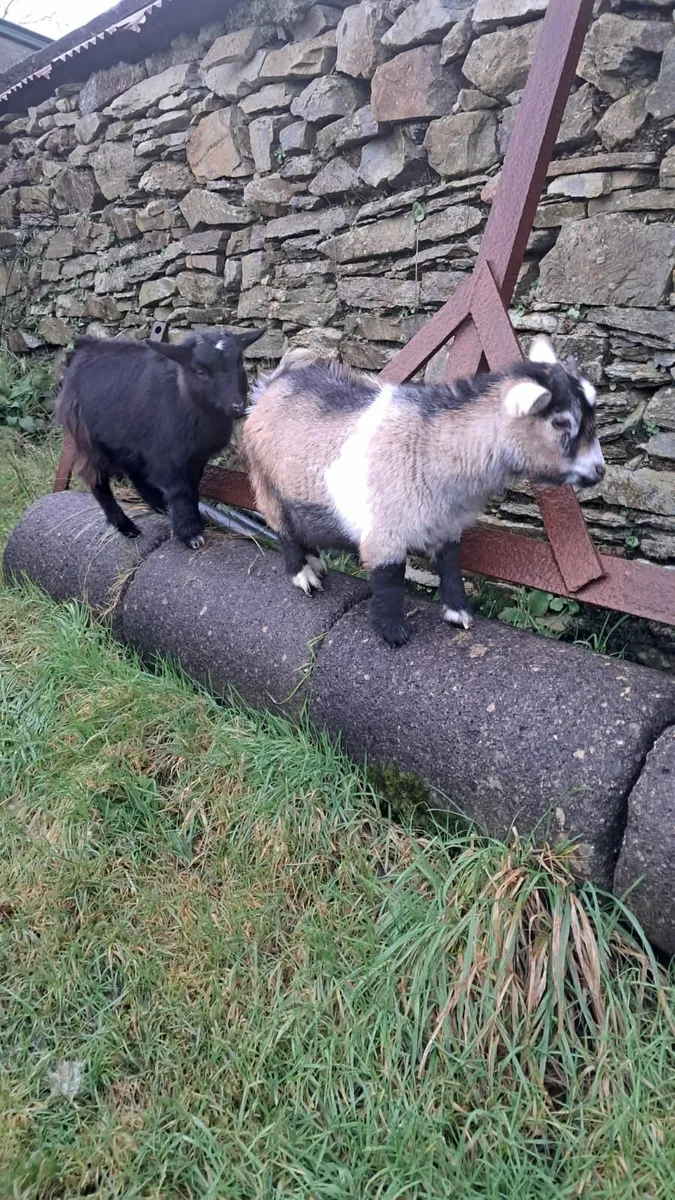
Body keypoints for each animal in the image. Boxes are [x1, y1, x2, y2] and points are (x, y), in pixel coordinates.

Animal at [55, 327, 263, 548]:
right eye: (201, 372)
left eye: (239, 363)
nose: (238, 407)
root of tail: (85, 346)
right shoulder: (169, 455)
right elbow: (181, 490)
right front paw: (190, 533)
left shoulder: (195, 456)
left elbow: (193, 487)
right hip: (87, 437)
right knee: (97, 480)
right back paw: (127, 526)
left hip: (126, 435)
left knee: (133, 468)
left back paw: (158, 503)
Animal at [242, 335, 605, 647]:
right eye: (560, 422)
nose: (599, 470)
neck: (433, 444)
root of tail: (272, 385)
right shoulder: (385, 529)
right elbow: (390, 577)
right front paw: (392, 633)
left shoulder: (448, 523)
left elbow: (450, 564)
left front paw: (459, 613)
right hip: (266, 483)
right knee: (284, 530)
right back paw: (303, 575)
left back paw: (315, 562)